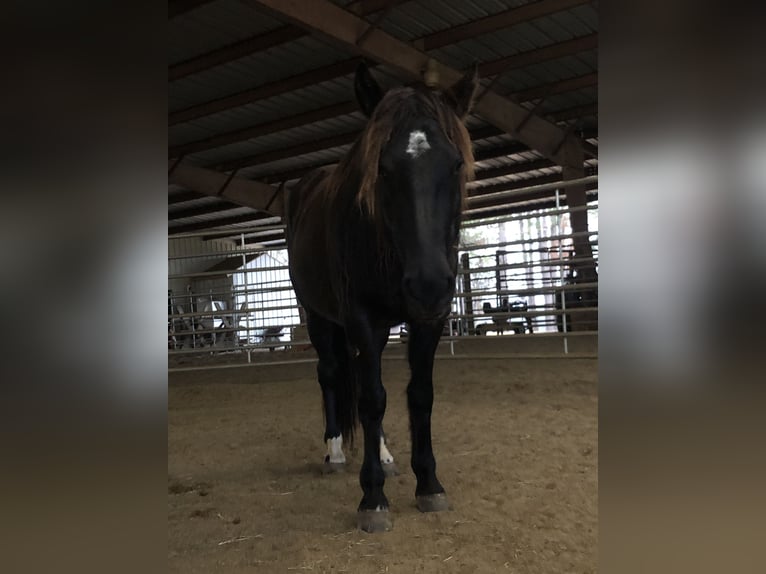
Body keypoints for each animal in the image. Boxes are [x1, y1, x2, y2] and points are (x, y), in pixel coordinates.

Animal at [284, 62, 478, 532]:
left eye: (455, 163)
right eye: (382, 167)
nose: (428, 284)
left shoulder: (428, 320)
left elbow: (418, 395)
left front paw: (429, 484)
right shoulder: (362, 319)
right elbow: (372, 400)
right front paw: (372, 498)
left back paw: (387, 455)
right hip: (318, 317)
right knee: (332, 374)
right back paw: (334, 451)